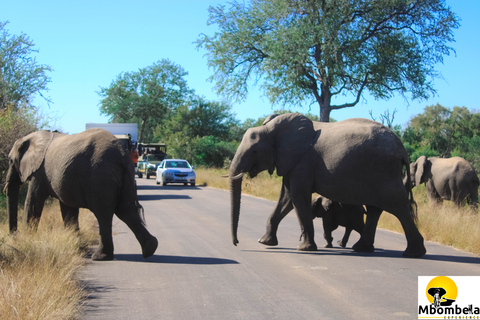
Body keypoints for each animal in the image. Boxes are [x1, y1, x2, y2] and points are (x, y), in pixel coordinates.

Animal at [4, 129, 158, 262]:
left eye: (10, 161)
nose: (14, 236)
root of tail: (122, 154)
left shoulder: (39, 172)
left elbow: (33, 202)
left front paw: (26, 239)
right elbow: (68, 209)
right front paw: (76, 246)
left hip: (100, 175)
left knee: (103, 214)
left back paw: (100, 257)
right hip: (125, 175)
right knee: (126, 210)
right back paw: (150, 248)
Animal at [231, 112, 426, 258]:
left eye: (254, 151)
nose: (236, 243)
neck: (272, 128)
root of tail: (402, 149)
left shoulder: (302, 162)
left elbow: (297, 197)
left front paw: (304, 249)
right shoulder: (292, 161)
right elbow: (285, 199)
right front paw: (265, 242)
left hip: (384, 171)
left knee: (398, 206)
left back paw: (413, 253)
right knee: (374, 209)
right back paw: (361, 248)